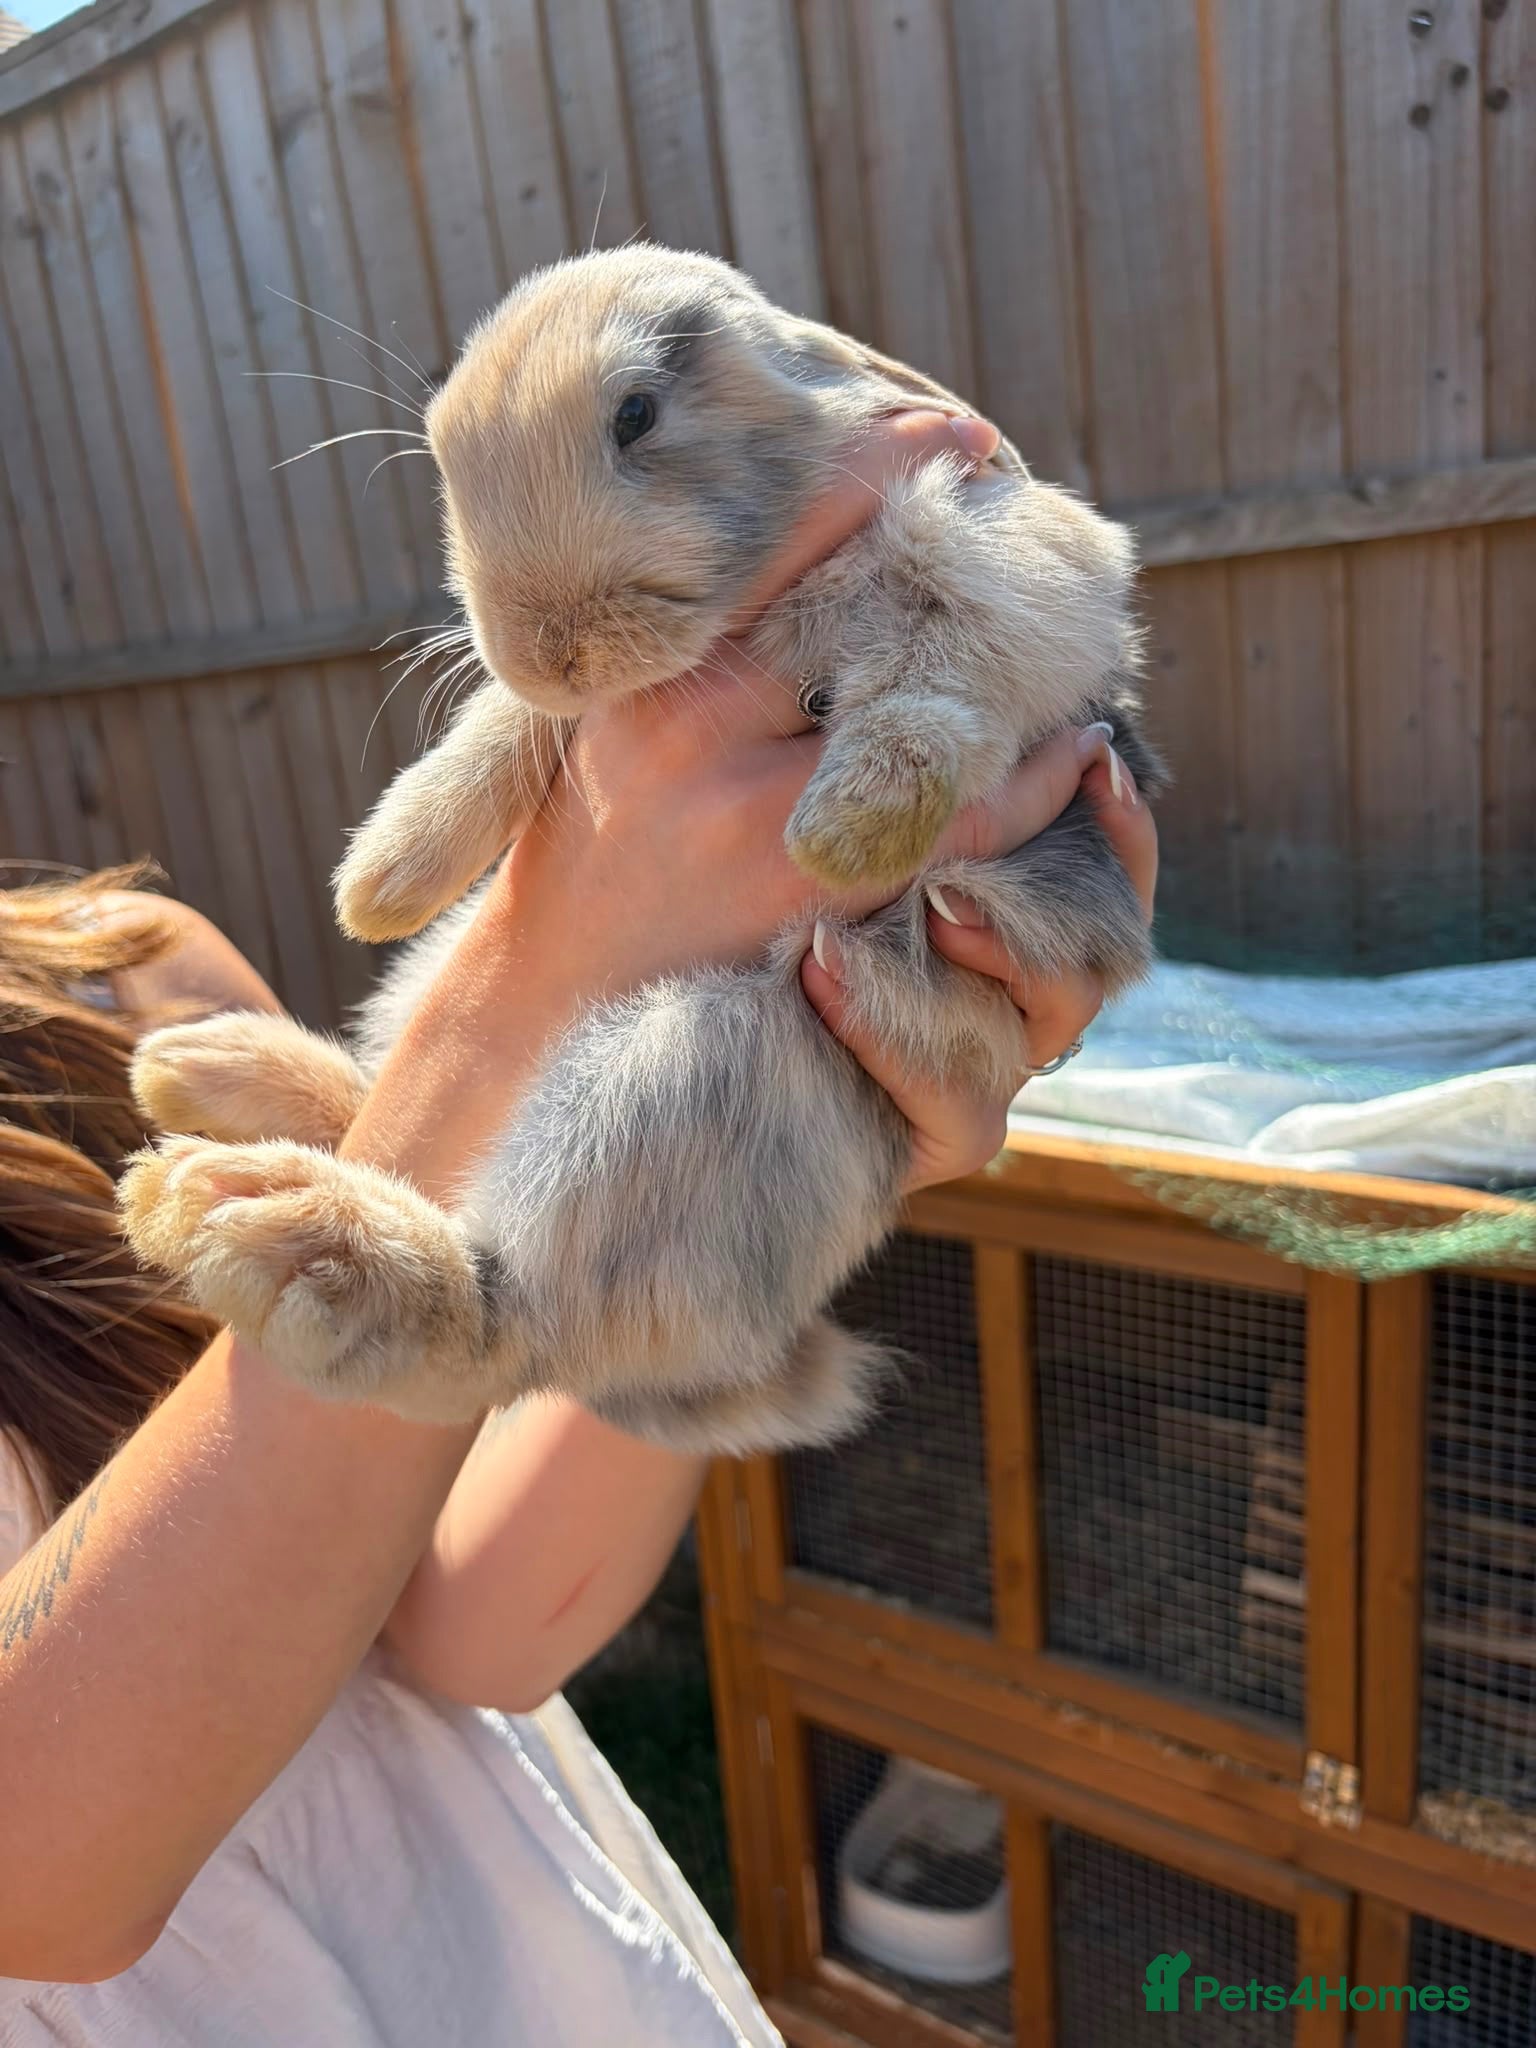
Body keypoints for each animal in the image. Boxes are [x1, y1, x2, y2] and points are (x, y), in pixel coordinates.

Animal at [120, 244, 1165, 1455]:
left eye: (635, 414)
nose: (551, 648)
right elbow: (503, 729)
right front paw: (382, 874)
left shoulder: (1016, 558)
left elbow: (948, 655)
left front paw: (853, 823)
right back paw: (217, 1081)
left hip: (691, 1068)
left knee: (507, 1330)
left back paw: (261, 1211)